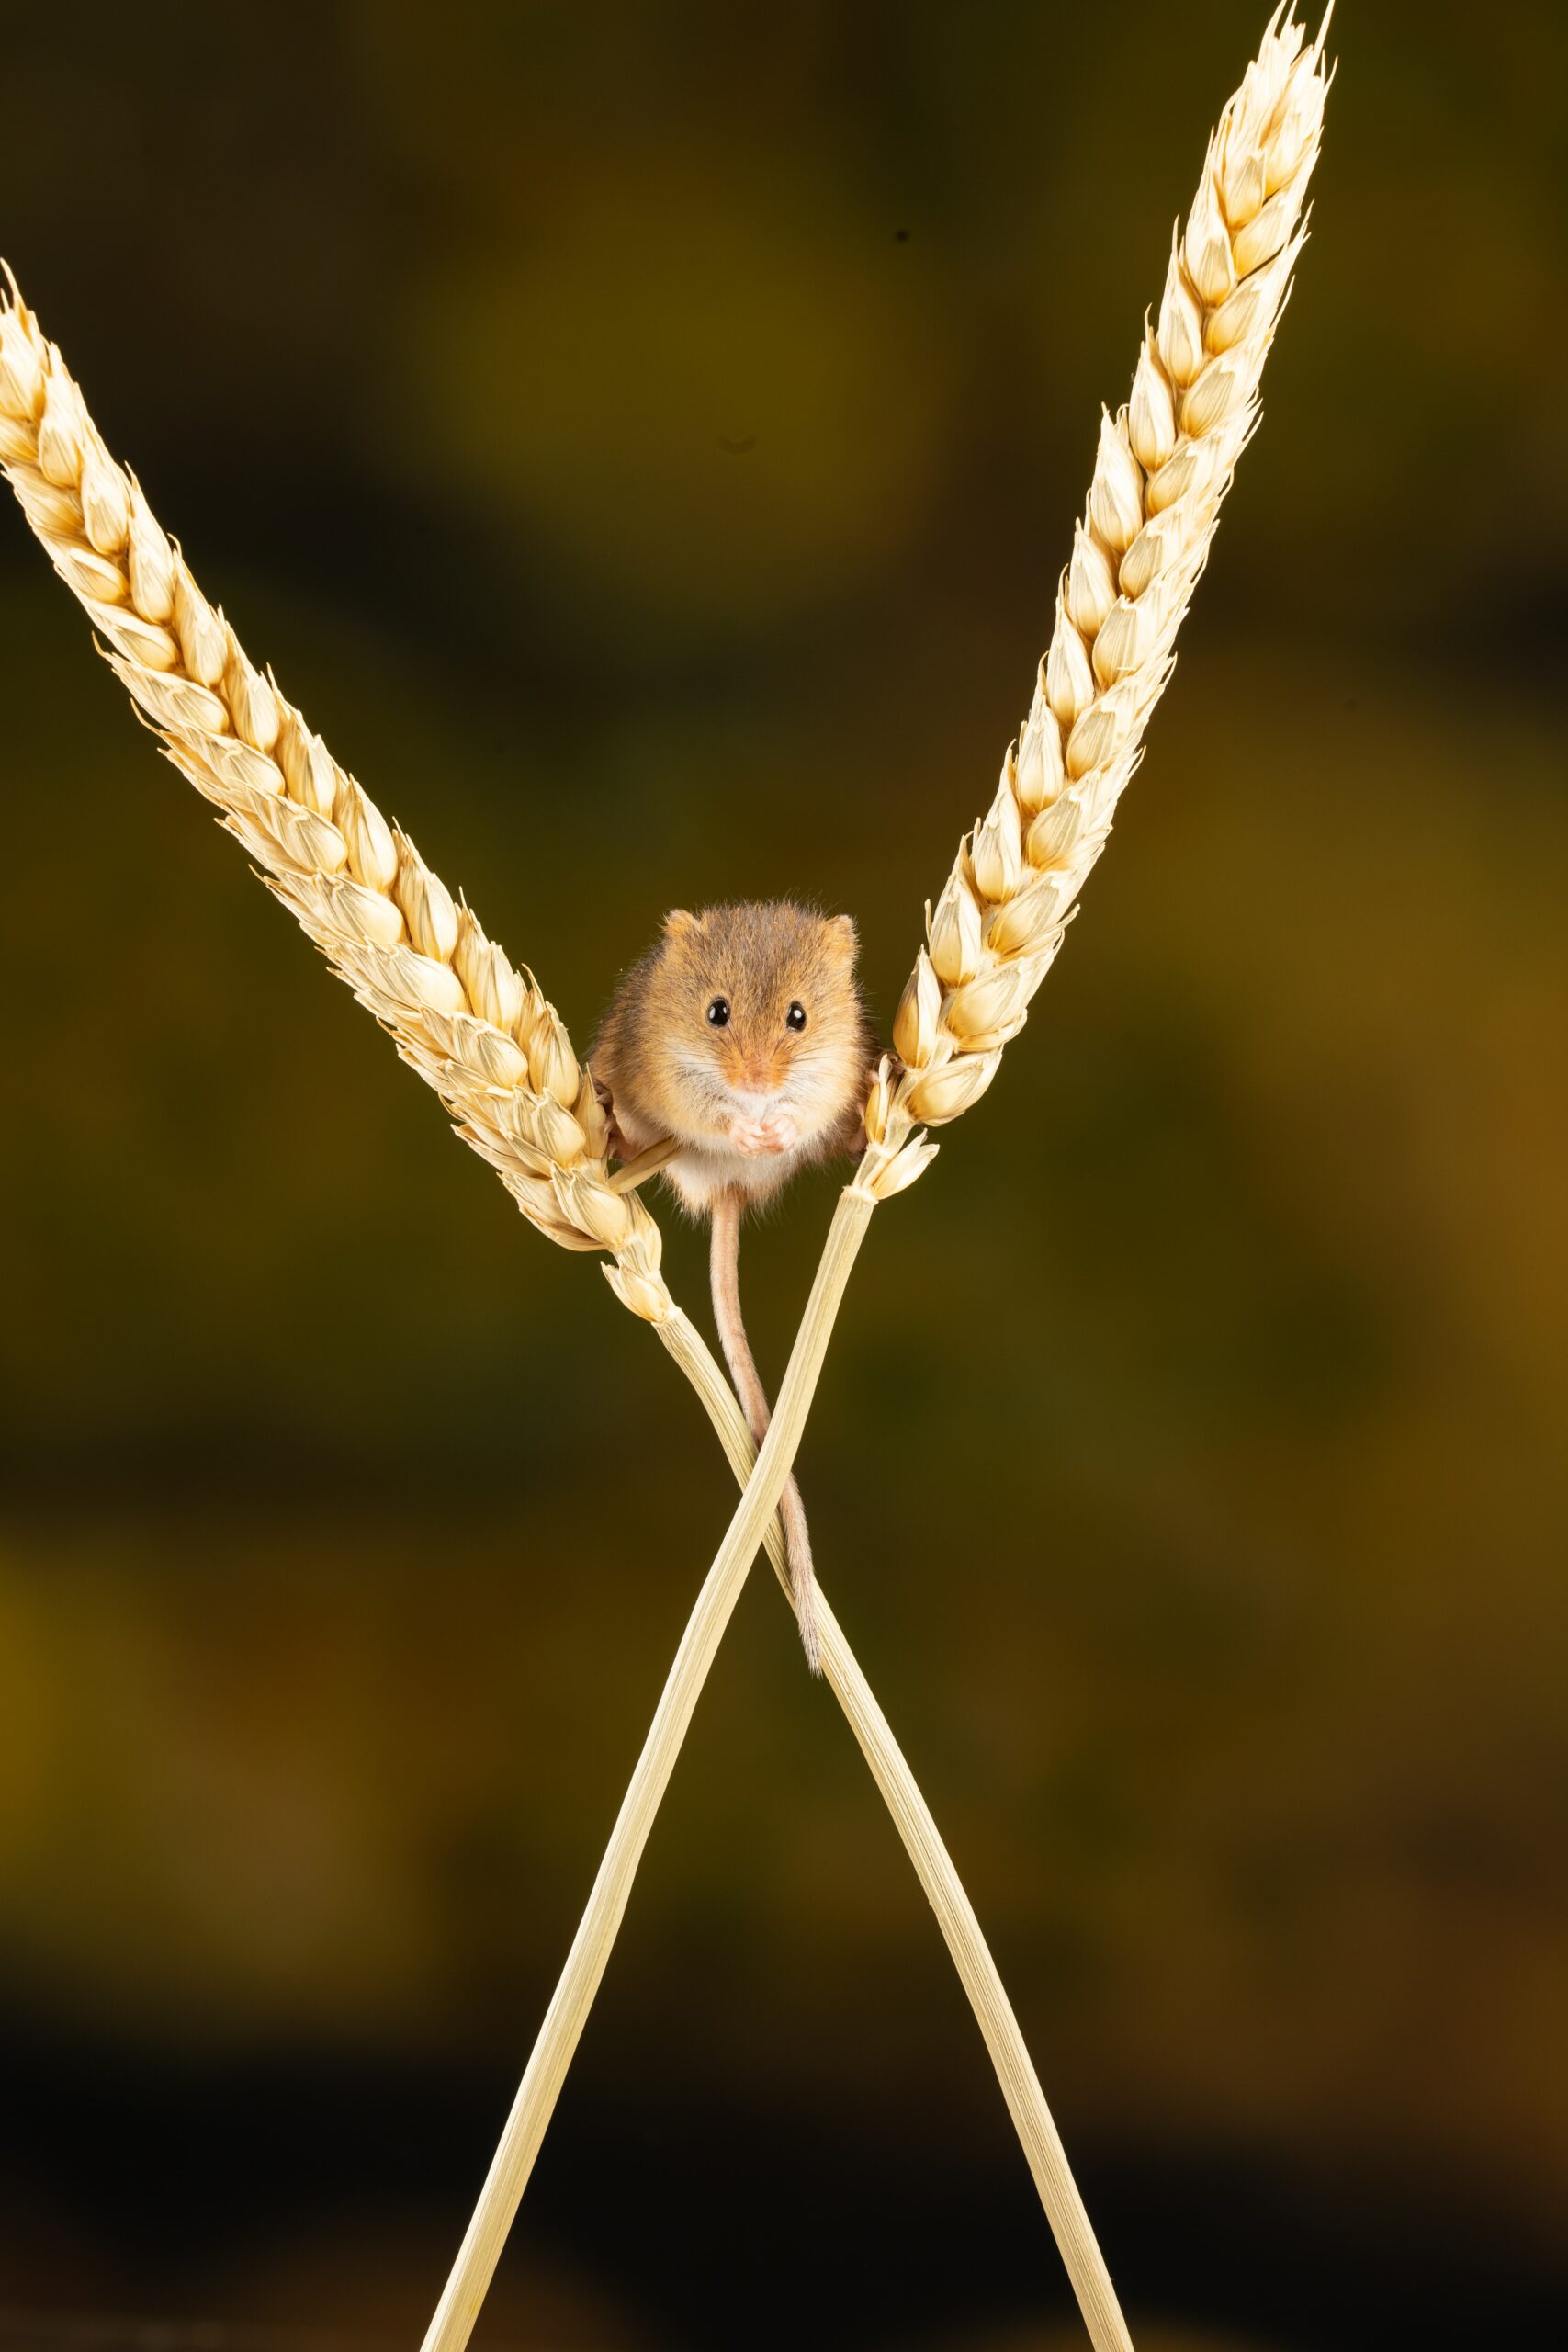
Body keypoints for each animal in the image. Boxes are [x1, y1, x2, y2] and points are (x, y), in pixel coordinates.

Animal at [592, 901, 875, 1672]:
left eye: (799, 1016)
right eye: (715, 1013)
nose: (753, 1085)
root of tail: (727, 1190)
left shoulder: (823, 1079)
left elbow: (798, 1116)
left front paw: (773, 1128)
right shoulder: (679, 1081)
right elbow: (713, 1114)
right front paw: (747, 1127)